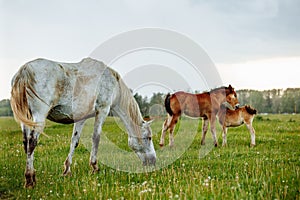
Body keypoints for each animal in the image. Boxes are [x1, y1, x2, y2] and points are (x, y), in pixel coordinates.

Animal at [10, 57, 156, 188]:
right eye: (148, 138)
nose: (153, 161)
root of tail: (24, 71)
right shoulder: (102, 110)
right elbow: (96, 138)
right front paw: (94, 167)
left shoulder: (81, 118)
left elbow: (74, 141)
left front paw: (67, 170)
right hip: (39, 115)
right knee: (32, 142)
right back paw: (30, 179)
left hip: (26, 119)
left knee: (26, 142)